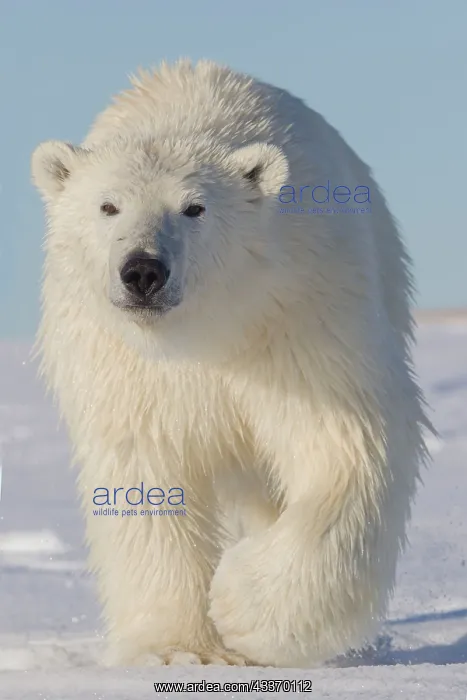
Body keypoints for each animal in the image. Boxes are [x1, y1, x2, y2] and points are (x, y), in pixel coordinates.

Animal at [31, 58, 430, 668]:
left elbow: (340, 444)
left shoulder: (301, 320)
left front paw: (244, 609)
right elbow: (148, 478)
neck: (208, 333)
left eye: (194, 207)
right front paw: (180, 650)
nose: (142, 270)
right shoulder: (126, 371)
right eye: (108, 205)